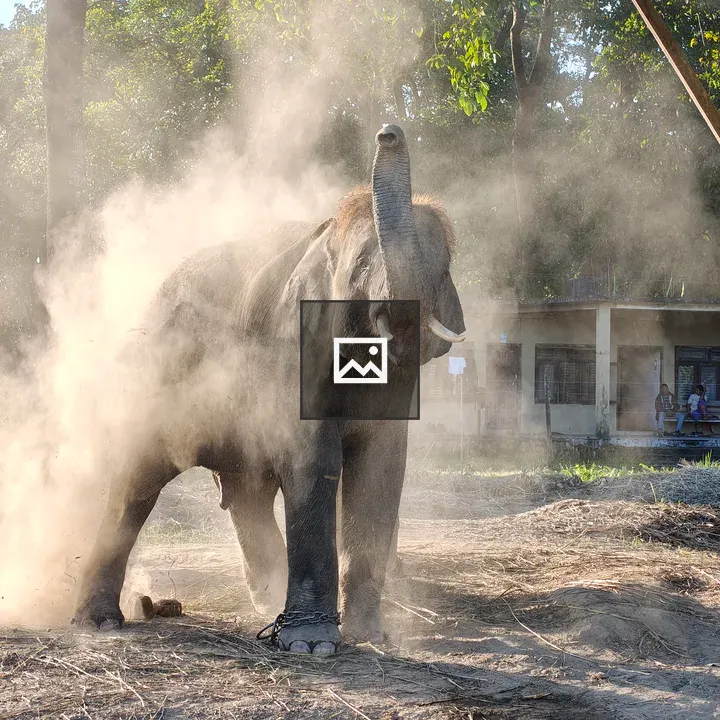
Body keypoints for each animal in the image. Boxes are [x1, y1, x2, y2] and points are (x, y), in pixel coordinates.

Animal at [73, 124, 466, 655]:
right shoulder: (295, 350)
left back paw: (267, 603)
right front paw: (312, 646)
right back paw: (98, 623)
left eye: (442, 269)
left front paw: (369, 637)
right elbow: (313, 460)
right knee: (138, 479)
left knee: (248, 491)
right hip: (158, 374)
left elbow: (382, 468)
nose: (388, 131)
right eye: (361, 267)